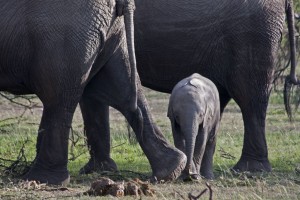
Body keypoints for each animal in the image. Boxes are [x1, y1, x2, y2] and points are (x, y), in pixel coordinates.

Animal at [0, 0, 186, 184]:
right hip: (104, 31)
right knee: (122, 88)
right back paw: (171, 170)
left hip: (63, 35)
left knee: (57, 98)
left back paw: (42, 180)